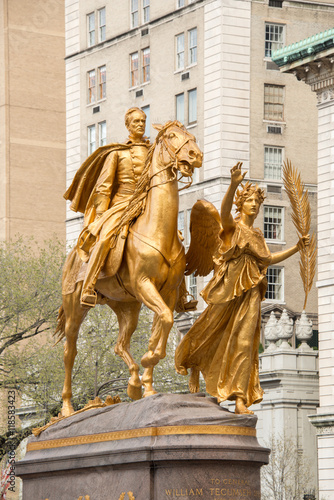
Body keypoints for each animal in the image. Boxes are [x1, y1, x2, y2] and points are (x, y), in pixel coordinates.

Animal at [55, 120, 202, 414]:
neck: (157, 229)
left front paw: (148, 382)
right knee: (69, 352)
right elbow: (163, 324)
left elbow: (162, 327)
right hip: (75, 307)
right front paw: (148, 363)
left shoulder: (167, 293)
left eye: (190, 135)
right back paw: (66, 408)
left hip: (126, 306)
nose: (195, 155)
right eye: (172, 135)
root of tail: (73, 256)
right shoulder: (145, 285)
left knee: (119, 344)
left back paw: (133, 383)